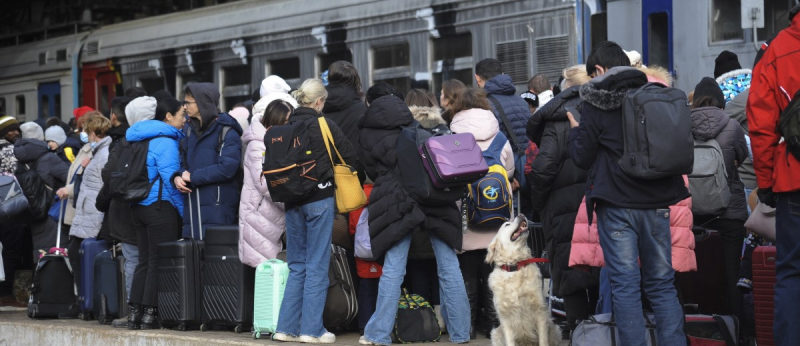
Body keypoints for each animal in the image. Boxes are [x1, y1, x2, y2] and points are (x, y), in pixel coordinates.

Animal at [482, 216, 564, 346]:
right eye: (506, 224)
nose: (521, 215)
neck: (516, 266)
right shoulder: (505, 318)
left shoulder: (540, 311)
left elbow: (543, 340)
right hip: (495, 333)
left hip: (555, 329)